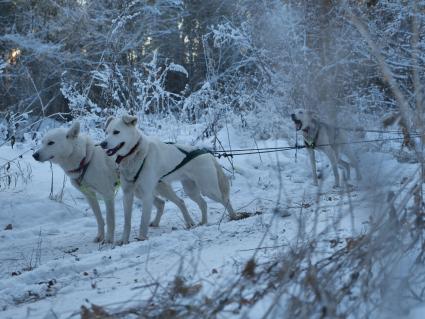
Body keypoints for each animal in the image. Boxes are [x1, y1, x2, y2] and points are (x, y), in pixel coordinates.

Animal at [33, 122, 195, 245]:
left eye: (51, 142)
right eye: (42, 142)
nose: (35, 155)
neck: (85, 159)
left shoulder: (108, 195)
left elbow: (110, 220)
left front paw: (108, 240)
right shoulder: (90, 196)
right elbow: (99, 219)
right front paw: (100, 236)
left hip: (156, 189)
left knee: (180, 202)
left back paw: (189, 223)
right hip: (139, 192)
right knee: (161, 203)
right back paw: (155, 223)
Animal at [100, 115, 237, 242]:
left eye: (116, 132)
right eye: (106, 132)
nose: (102, 144)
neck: (135, 154)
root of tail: (207, 153)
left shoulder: (147, 195)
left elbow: (143, 221)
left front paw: (142, 238)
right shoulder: (128, 194)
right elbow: (127, 222)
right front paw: (124, 241)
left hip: (208, 189)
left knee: (225, 200)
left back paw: (233, 217)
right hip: (184, 190)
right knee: (195, 203)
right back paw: (201, 222)